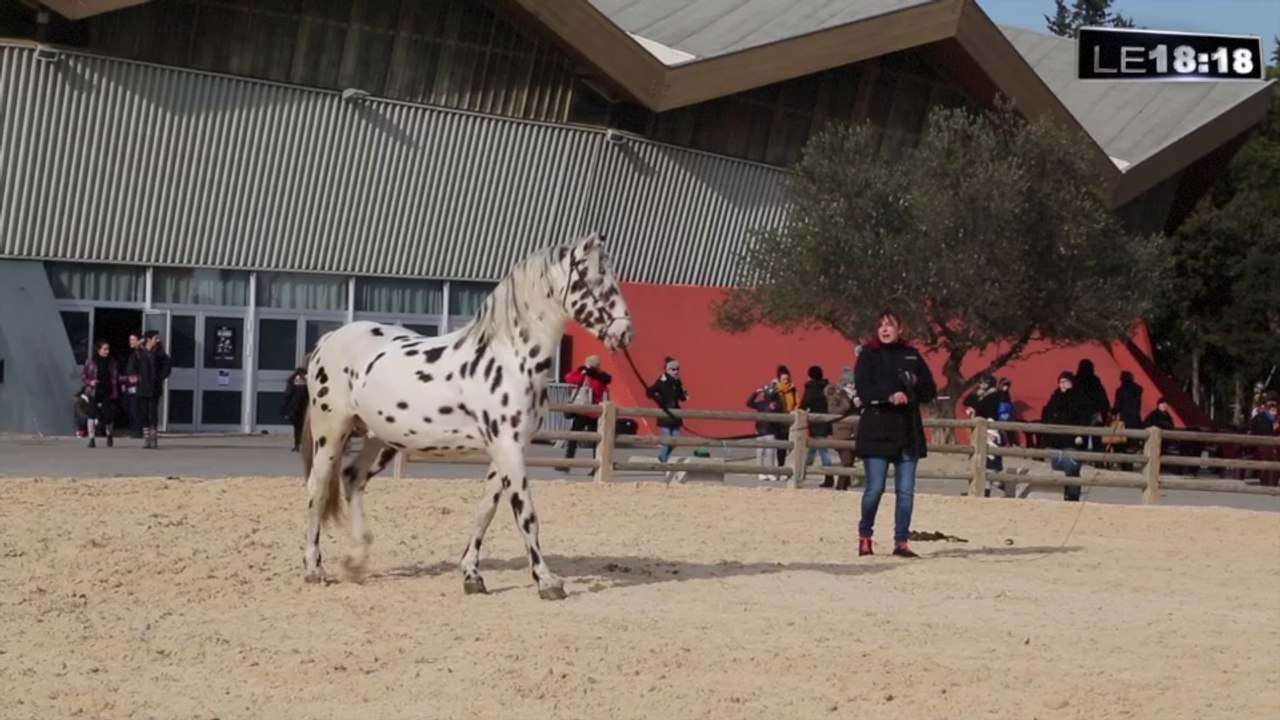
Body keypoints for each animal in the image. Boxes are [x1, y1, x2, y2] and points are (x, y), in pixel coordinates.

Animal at [300, 232, 633, 600]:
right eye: (595, 278)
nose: (624, 333)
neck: (509, 358)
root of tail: (330, 339)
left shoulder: (509, 448)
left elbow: (486, 509)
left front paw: (472, 575)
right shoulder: (507, 447)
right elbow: (526, 513)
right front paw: (547, 581)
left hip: (380, 439)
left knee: (352, 479)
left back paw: (356, 560)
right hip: (331, 431)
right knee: (317, 488)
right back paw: (315, 568)